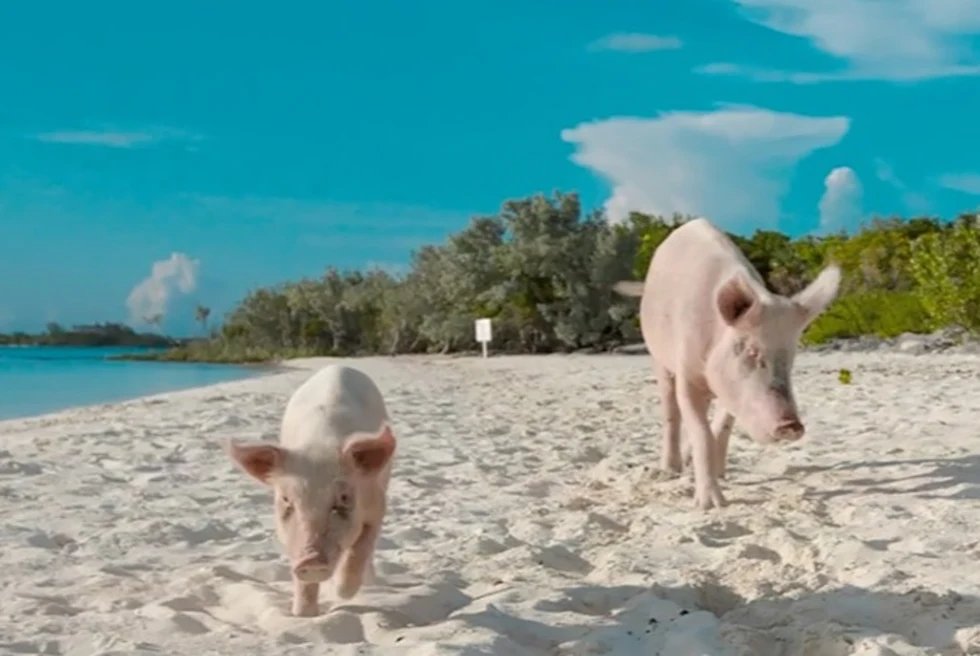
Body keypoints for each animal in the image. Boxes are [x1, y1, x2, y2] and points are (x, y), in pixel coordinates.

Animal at [224, 364, 397, 616]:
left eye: (343, 498)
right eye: (287, 500)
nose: (311, 561)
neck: (319, 444)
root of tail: (337, 365)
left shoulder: (377, 505)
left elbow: (360, 549)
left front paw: (342, 593)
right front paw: (302, 615)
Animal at [613, 218, 840, 510]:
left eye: (791, 357)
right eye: (750, 351)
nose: (792, 426)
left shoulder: (731, 388)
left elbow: (721, 427)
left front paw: (721, 478)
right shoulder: (688, 374)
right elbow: (701, 433)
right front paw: (711, 506)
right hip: (658, 358)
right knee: (670, 411)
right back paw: (670, 470)